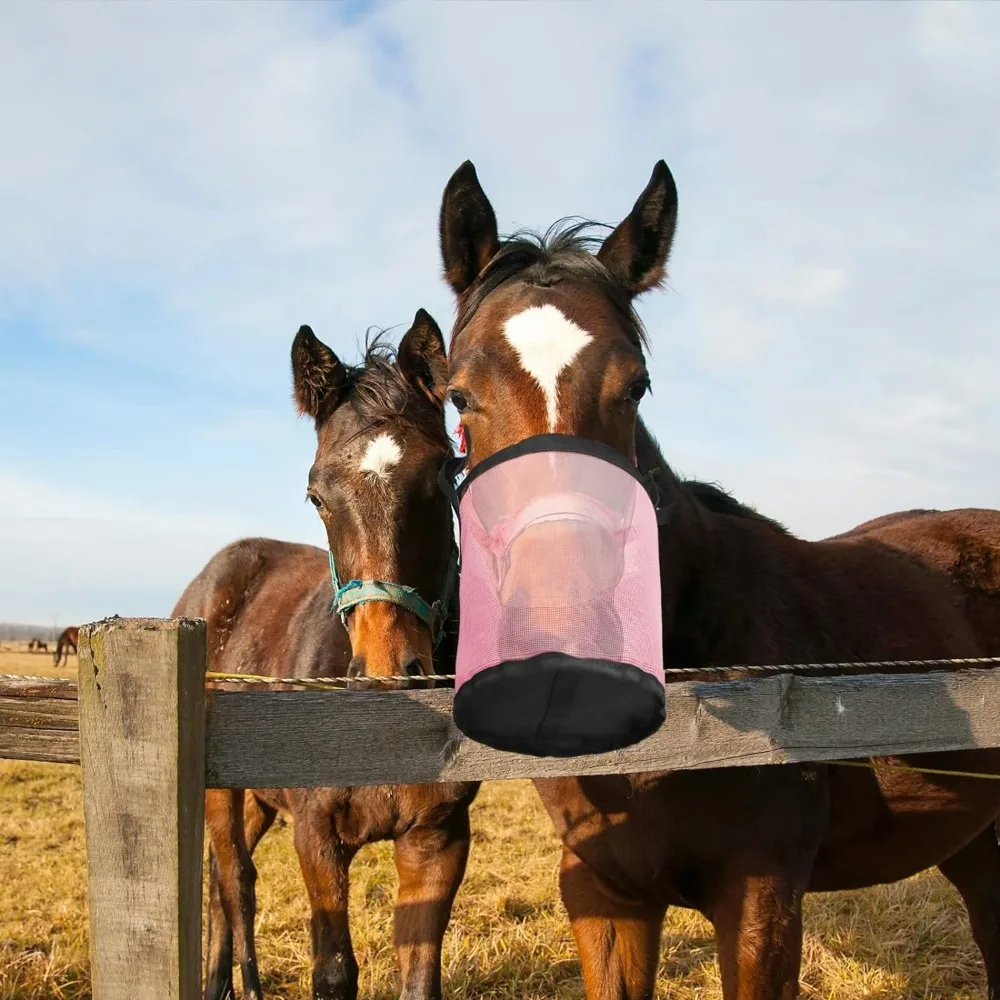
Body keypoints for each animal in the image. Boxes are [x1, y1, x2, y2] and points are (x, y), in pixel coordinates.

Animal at [173, 312, 478, 1000]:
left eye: (443, 476)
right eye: (317, 495)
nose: (389, 673)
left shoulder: (437, 838)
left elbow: (419, 975)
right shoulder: (316, 835)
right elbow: (334, 971)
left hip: (259, 800)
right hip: (222, 795)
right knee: (235, 884)